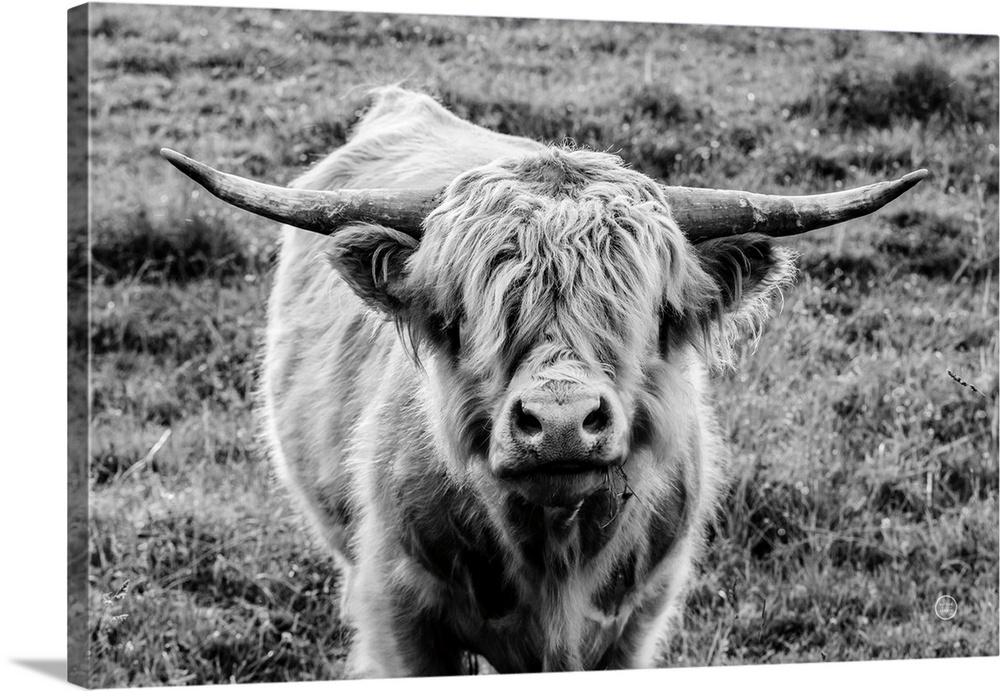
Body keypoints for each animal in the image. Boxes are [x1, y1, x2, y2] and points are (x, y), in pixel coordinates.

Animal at [160, 85, 924, 676]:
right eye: (467, 311)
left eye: (647, 311)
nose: (560, 421)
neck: (554, 554)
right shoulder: (400, 613)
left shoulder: (637, 622)